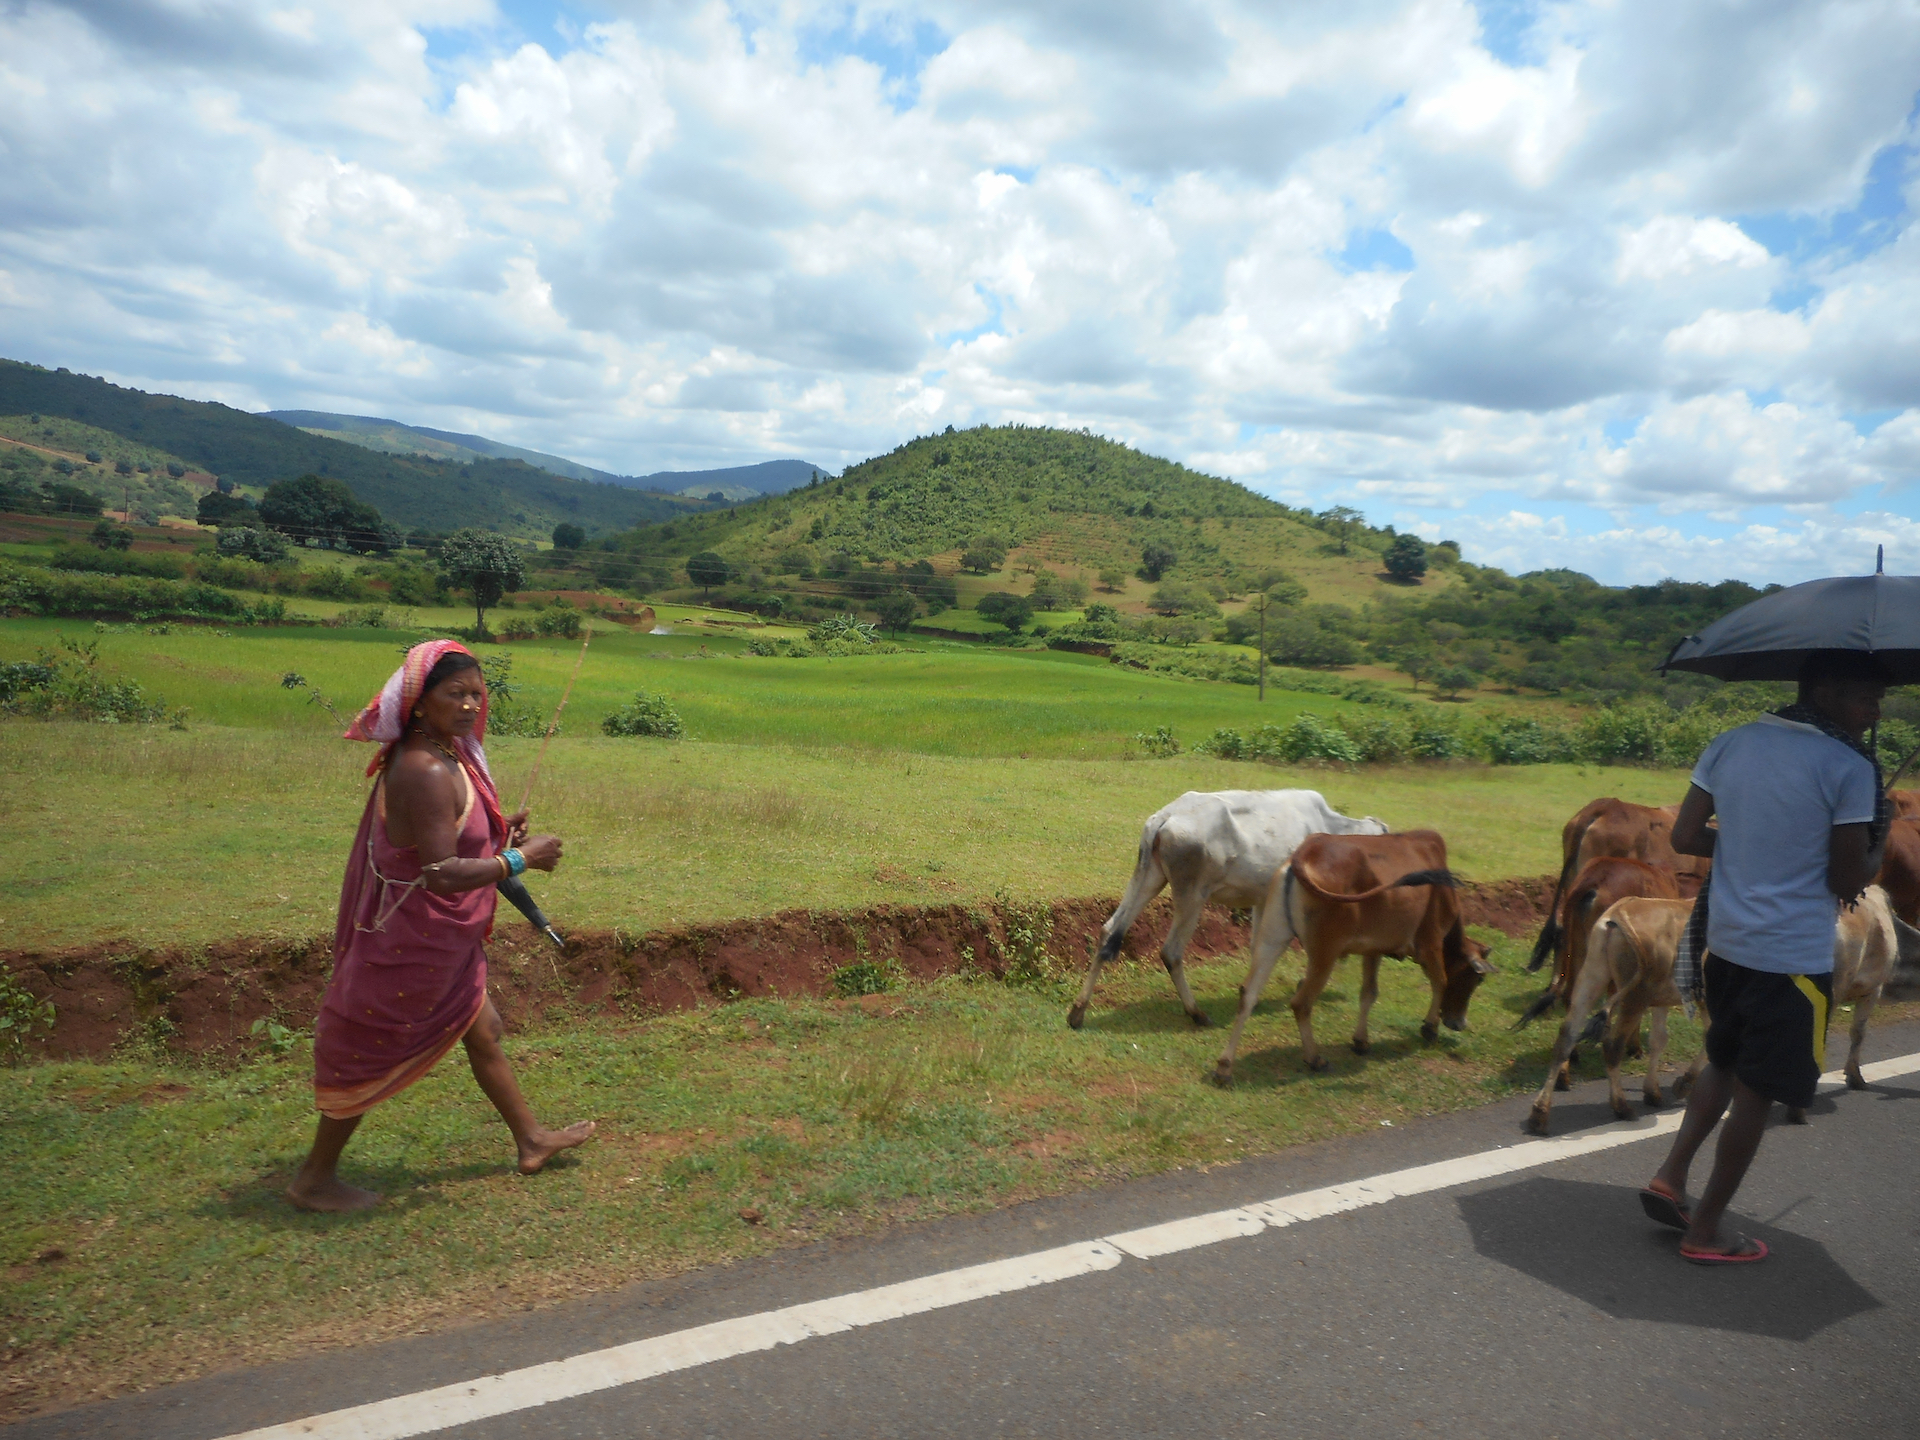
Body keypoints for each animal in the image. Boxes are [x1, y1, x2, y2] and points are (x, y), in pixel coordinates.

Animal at [1068, 790, 1387, 1031]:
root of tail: (1164, 818)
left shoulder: (1261, 899)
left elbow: (1257, 948)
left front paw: (1251, 995)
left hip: (1148, 877)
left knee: (1109, 931)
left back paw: (1077, 1012)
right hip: (1192, 896)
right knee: (1171, 952)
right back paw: (1196, 1013)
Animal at [1210, 830, 1492, 1082]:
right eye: (1477, 979)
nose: (1459, 1023)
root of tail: (1307, 851)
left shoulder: (1373, 950)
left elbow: (1369, 993)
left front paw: (1360, 1041)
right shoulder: (1430, 943)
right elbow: (1441, 981)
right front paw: (1430, 1028)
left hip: (1273, 939)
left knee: (1248, 994)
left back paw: (1224, 1067)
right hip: (1325, 953)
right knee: (1301, 1003)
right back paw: (1315, 1059)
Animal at [1526, 897, 1698, 1134]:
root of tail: (1617, 913)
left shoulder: (1662, 1000)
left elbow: (1659, 1039)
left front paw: (1652, 1092)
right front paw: (1684, 1084)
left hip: (1592, 977)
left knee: (1565, 1039)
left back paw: (1539, 1114)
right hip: (1634, 997)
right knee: (1613, 1045)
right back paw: (1622, 1107)